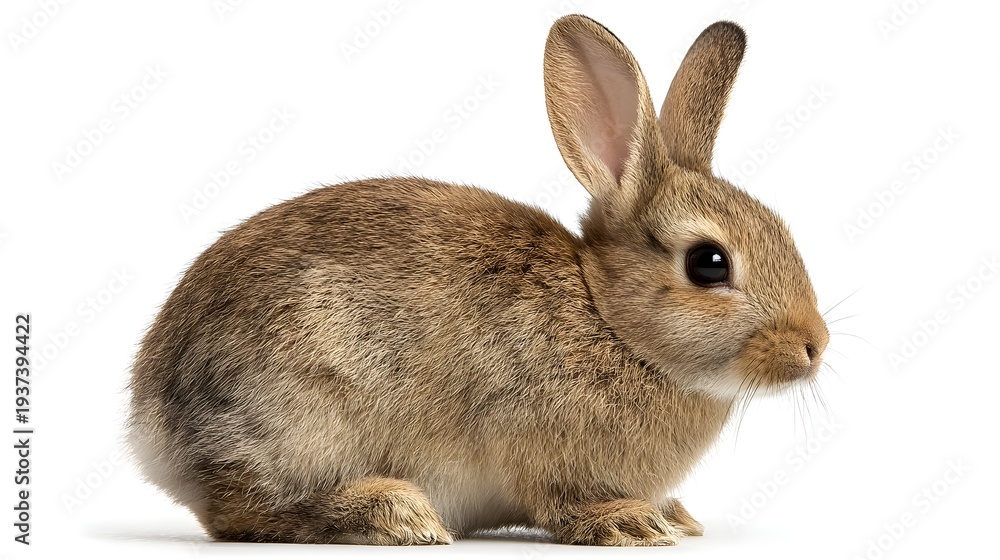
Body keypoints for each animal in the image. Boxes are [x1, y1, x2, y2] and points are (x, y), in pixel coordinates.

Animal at [127, 14, 828, 547]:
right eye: (709, 262)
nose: (814, 346)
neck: (609, 321)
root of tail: (150, 420)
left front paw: (676, 516)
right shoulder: (536, 445)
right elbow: (560, 503)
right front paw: (629, 523)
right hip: (299, 410)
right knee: (248, 510)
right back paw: (392, 515)